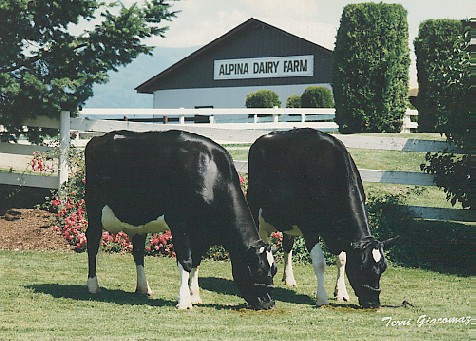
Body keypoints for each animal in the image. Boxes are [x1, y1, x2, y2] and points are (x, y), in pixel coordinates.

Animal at [84, 129, 276, 308]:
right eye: (259, 271)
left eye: (273, 271)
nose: (269, 303)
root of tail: (97, 139)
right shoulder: (179, 224)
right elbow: (185, 261)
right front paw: (184, 301)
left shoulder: (201, 233)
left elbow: (196, 262)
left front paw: (195, 296)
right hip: (94, 210)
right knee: (92, 244)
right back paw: (93, 286)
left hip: (139, 223)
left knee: (138, 250)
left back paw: (143, 288)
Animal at [245, 128, 398, 308]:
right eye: (361, 267)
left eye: (383, 267)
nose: (373, 302)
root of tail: (264, 137)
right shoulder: (310, 227)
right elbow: (319, 263)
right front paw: (322, 298)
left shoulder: (336, 233)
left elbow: (342, 259)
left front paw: (341, 293)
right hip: (257, 211)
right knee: (265, 242)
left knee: (287, 245)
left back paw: (289, 279)